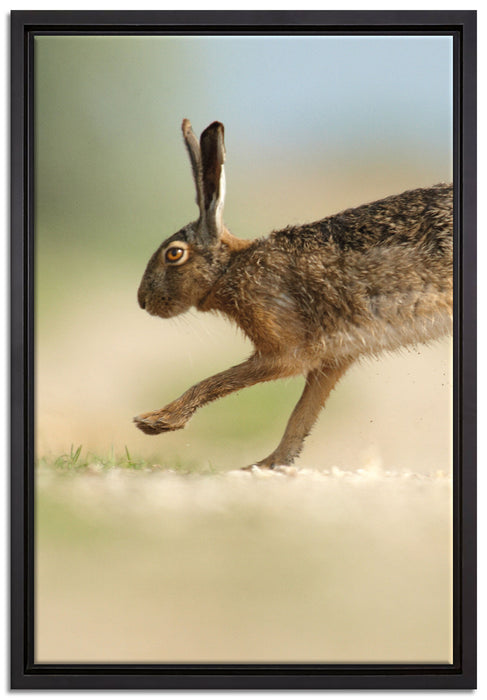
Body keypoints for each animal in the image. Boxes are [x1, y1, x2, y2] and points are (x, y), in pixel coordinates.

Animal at [135, 119, 453, 469]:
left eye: (174, 254)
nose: (142, 301)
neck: (229, 269)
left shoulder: (285, 350)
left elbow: (220, 380)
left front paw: (155, 421)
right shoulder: (335, 358)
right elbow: (301, 415)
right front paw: (269, 464)